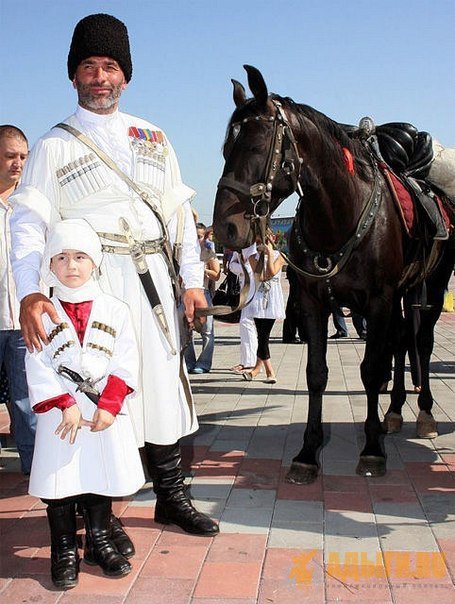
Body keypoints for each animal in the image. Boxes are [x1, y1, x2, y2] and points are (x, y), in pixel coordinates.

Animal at [212, 63, 454, 484]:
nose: (224, 229)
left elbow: (371, 370)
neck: (340, 215)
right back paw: (394, 411)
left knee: (420, 342)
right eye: (227, 149)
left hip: (434, 286)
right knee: (402, 340)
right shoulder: (313, 301)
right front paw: (308, 452)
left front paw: (372, 450)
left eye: (256, 147)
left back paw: (422, 413)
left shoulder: (378, 301)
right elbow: (316, 374)